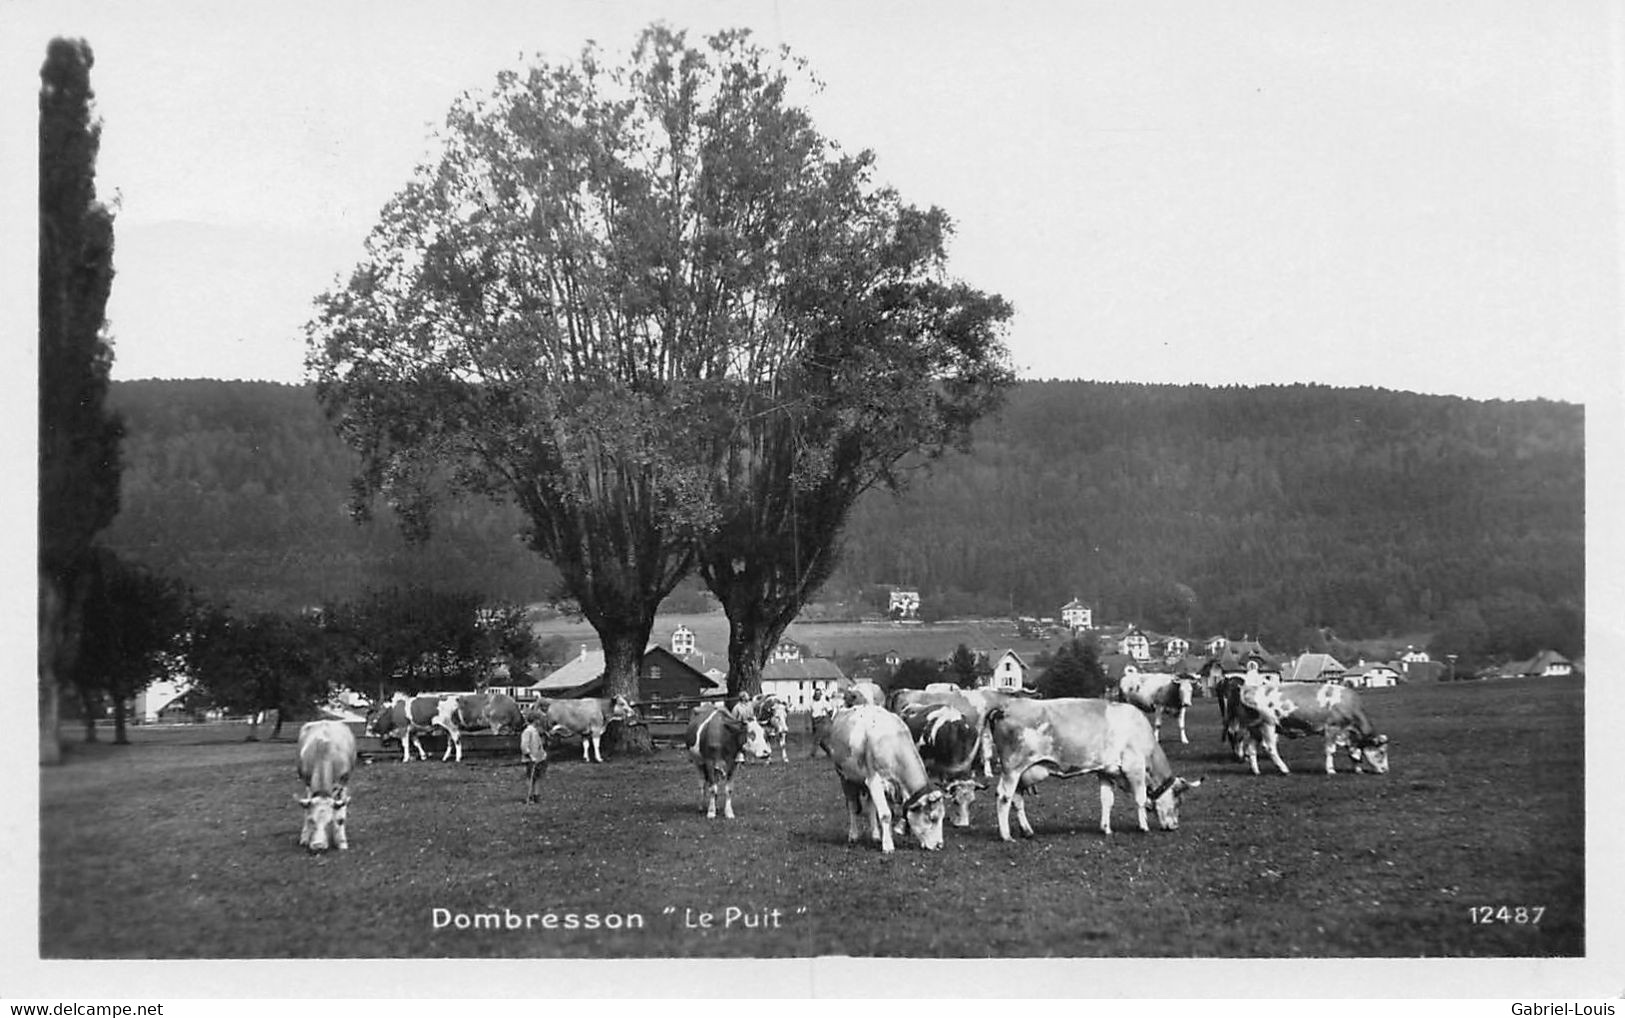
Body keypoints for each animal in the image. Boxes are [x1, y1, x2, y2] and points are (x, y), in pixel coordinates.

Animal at [302, 718, 362, 852]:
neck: (324, 751)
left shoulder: (341, 785)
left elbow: (339, 818)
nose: (318, 845)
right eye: (312, 821)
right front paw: (305, 837)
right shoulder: (308, 784)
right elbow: (307, 810)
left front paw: (341, 842)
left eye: (329, 822)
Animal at [832, 702, 949, 852]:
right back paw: (853, 835)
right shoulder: (875, 780)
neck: (892, 744)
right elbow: (886, 814)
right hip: (844, 776)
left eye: (942, 817)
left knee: (870, 807)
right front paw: (888, 846)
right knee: (852, 806)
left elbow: (888, 813)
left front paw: (886, 838)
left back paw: (875, 835)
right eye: (932, 818)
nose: (940, 845)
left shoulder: (888, 786)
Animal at [981, 692, 1202, 839]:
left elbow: (1107, 800)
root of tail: (1006, 706)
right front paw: (1143, 827)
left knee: (1017, 800)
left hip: (1023, 772)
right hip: (1012, 768)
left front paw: (1106, 828)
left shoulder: (1106, 771)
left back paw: (1027, 831)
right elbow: (1140, 799)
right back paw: (1006, 835)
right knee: (1003, 797)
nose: (1174, 827)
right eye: (1179, 800)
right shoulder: (1134, 767)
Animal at [1222, 676, 1391, 774]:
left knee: (1251, 749)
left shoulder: (1349, 734)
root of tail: (1248, 688)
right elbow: (1331, 750)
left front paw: (1358, 769)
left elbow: (1354, 752)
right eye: (1381, 752)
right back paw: (1284, 769)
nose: (1386, 770)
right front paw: (1330, 770)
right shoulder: (1332, 728)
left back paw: (1256, 771)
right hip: (1268, 724)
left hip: (1255, 728)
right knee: (1269, 747)